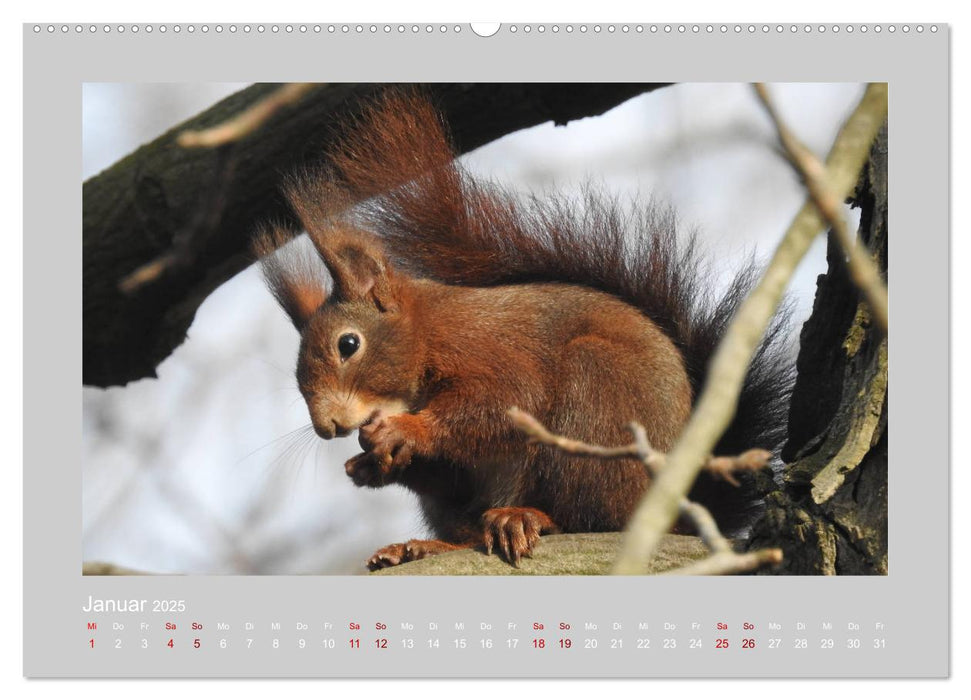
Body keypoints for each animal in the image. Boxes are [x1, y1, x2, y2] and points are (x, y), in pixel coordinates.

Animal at [254, 89, 792, 568]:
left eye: (349, 344)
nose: (327, 427)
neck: (429, 333)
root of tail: (680, 514)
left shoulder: (488, 348)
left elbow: (505, 402)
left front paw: (407, 429)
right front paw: (367, 465)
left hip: (596, 399)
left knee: (589, 517)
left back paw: (525, 517)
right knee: (468, 526)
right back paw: (423, 546)